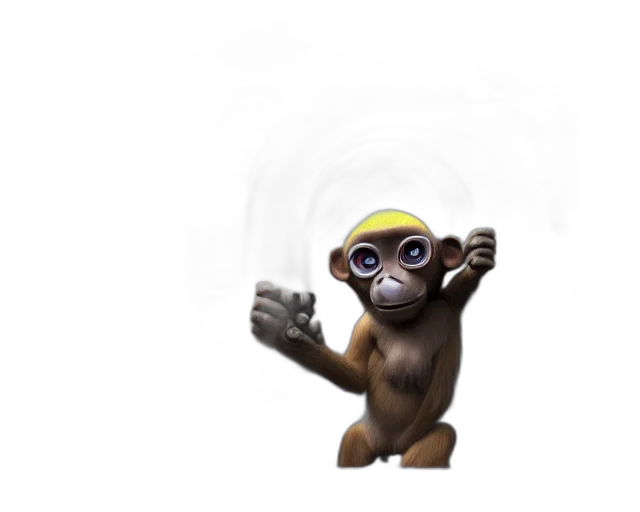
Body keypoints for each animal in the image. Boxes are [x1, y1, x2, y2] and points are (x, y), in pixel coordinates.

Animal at [249, 209, 496, 470]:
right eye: (367, 261)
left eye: (413, 252)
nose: (388, 279)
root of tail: (386, 449)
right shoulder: (364, 326)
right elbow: (356, 376)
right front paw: (281, 329)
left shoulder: (446, 309)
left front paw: (478, 260)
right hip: (365, 436)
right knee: (353, 443)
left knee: (435, 442)